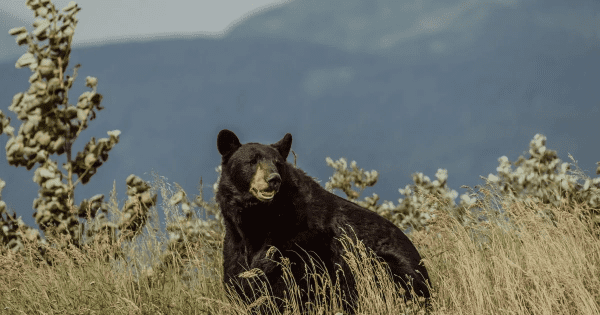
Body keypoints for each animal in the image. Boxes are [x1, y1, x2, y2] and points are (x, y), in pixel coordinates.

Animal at [216, 130, 432, 314]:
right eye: (252, 161)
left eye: (278, 163)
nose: (273, 179)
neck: (258, 220)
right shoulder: (235, 243)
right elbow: (240, 279)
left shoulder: (301, 242)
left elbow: (292, 282)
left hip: (385, 266)